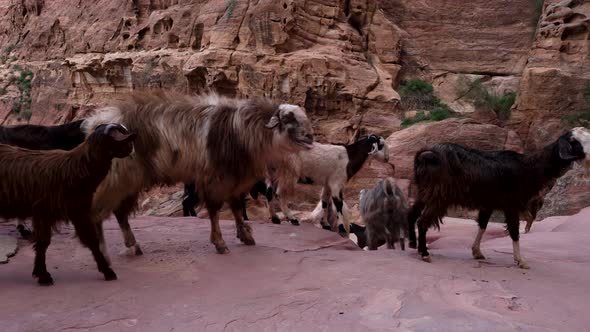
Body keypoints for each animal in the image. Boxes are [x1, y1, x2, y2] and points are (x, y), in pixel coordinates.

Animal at [0, 123, 136, 284]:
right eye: (122, 140)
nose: (132, 148)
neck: (74, 169)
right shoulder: (45, 212)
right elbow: (43, 243)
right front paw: (43, 276)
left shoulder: (77, 211)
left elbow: (91, 240)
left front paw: (107, 270)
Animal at [82, 91, 320, 256]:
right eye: (288, 120)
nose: (310, 136)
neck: (242, 130)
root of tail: (96, 123)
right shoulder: (216, 179)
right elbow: (215, 211)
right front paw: (220, 243)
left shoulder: (236, 180)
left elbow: (236, 208)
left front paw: (245, 235)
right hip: (117, 179)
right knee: (100, 211)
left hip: (129, 181)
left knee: (119, 213)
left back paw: (133, 246)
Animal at [410, 127, 590, 270]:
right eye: (575, 141)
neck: (529, 168)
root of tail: (425, 155)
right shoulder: (511, 204)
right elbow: (514, 231)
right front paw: (521, 261)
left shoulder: (489, 203)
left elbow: (483, 225)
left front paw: (477, 252)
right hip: (438, 195)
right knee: (422, 221)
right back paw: (425, 253)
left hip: (424, 191)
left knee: (412, 213)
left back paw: (414, 245)